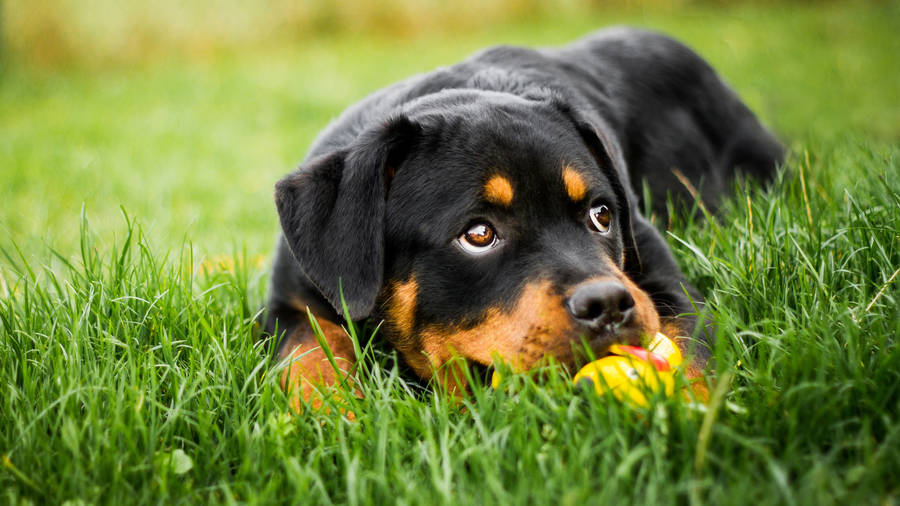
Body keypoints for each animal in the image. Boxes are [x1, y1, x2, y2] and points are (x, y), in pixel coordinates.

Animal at [266, 27, 780, 402]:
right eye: (478, 234)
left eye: (602, 215)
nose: (608, 303)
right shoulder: (287, 299)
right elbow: (307, 352)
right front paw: (332, 416)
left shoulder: (659, 275)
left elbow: (692, 350)